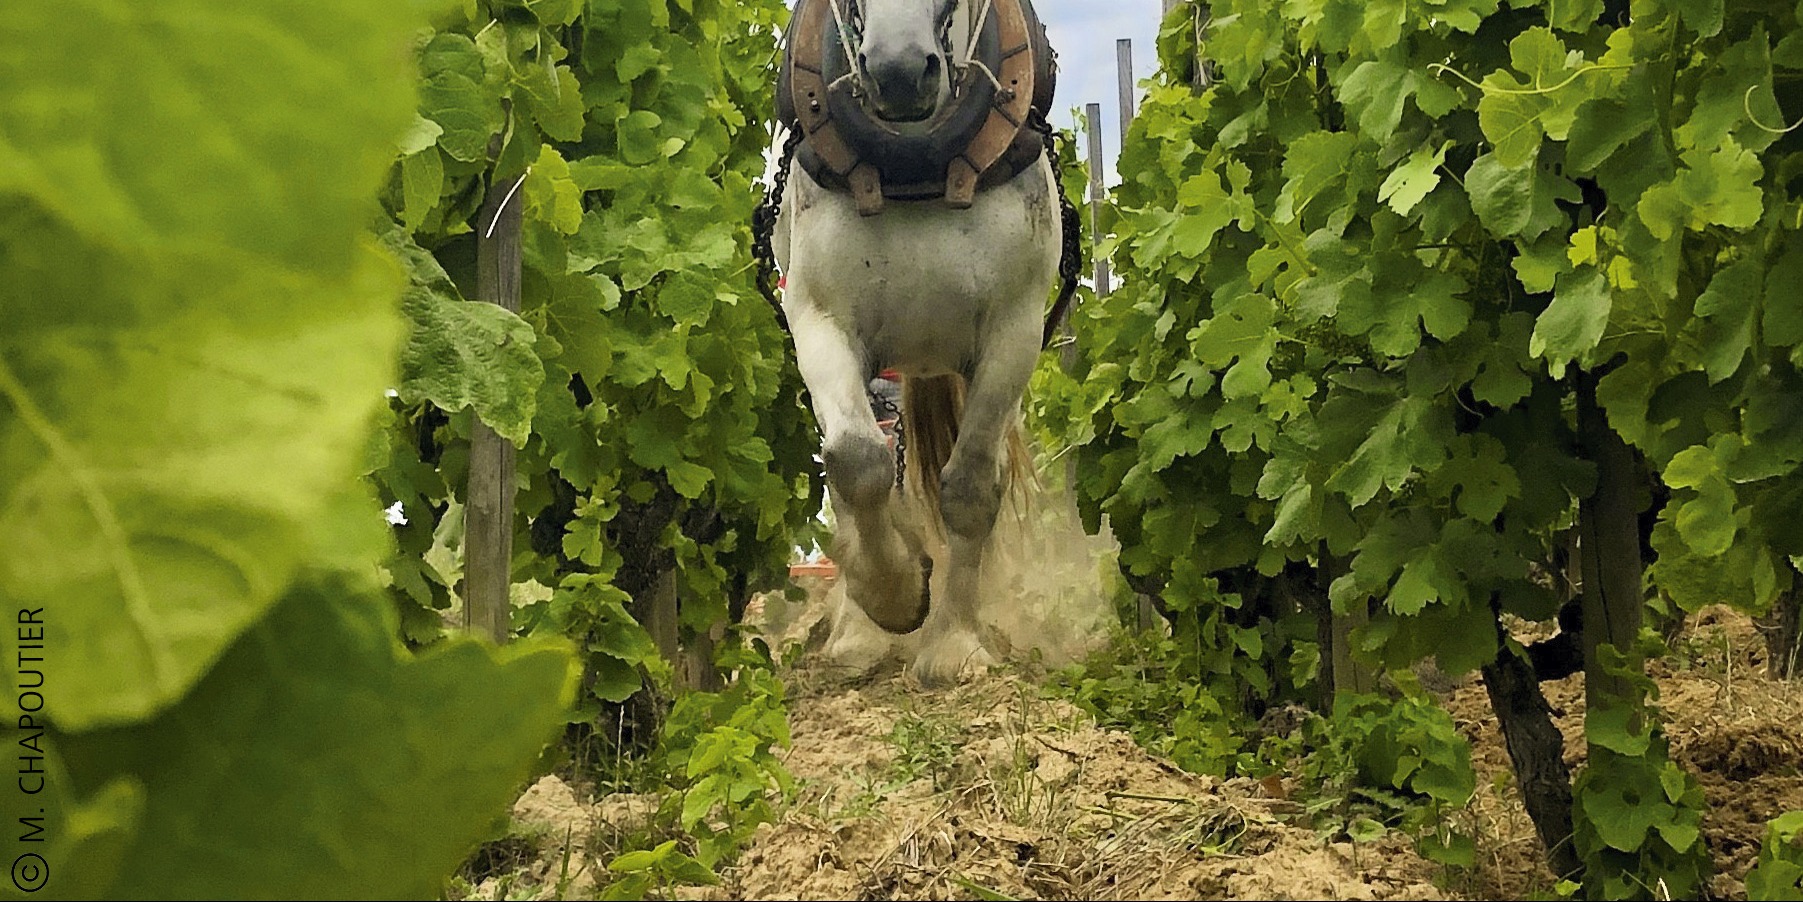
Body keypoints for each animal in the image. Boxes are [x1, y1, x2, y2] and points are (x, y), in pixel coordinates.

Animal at [759, 0, 1076, 685]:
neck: (916, 170)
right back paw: (856, 633)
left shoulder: (1014, 331)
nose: (899, 72)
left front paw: (954, 645)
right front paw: (895, 597)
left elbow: (970, 488)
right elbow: (857, 464)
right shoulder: (818, 318)